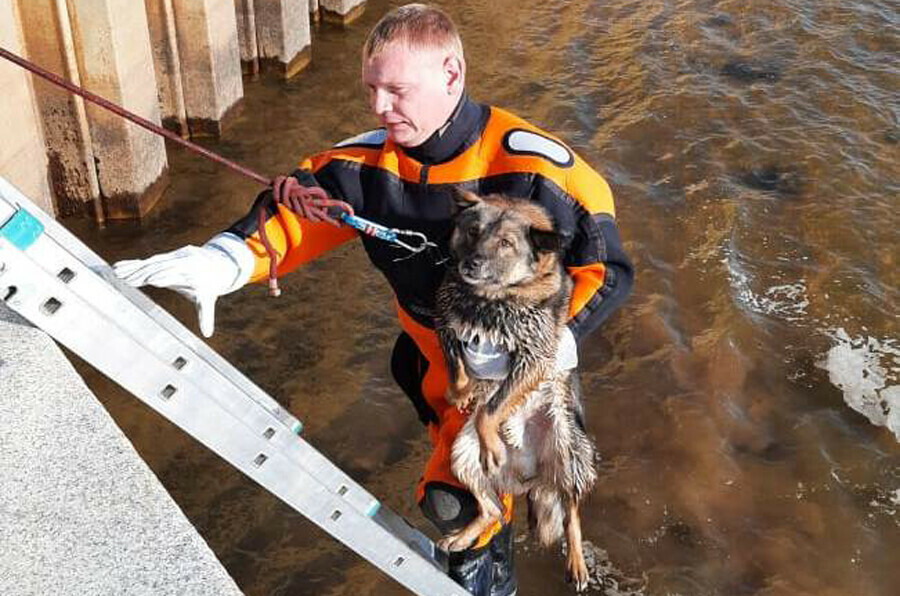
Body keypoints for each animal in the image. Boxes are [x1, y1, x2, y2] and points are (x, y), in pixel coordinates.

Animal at [436, 190, 596, 588]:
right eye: (473, 231)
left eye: (506, 244)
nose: (472, 263)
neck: (489, 299)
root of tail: (530, 478)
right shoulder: (446, 323)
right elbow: (456, 368)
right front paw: (460, 393)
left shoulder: (534, 355)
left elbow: (491, 410)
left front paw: (492, 436)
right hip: (462, 455)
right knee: (492, 510)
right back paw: (464, 534)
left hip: (568, 447)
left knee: (570, 511)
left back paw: (576, 561)